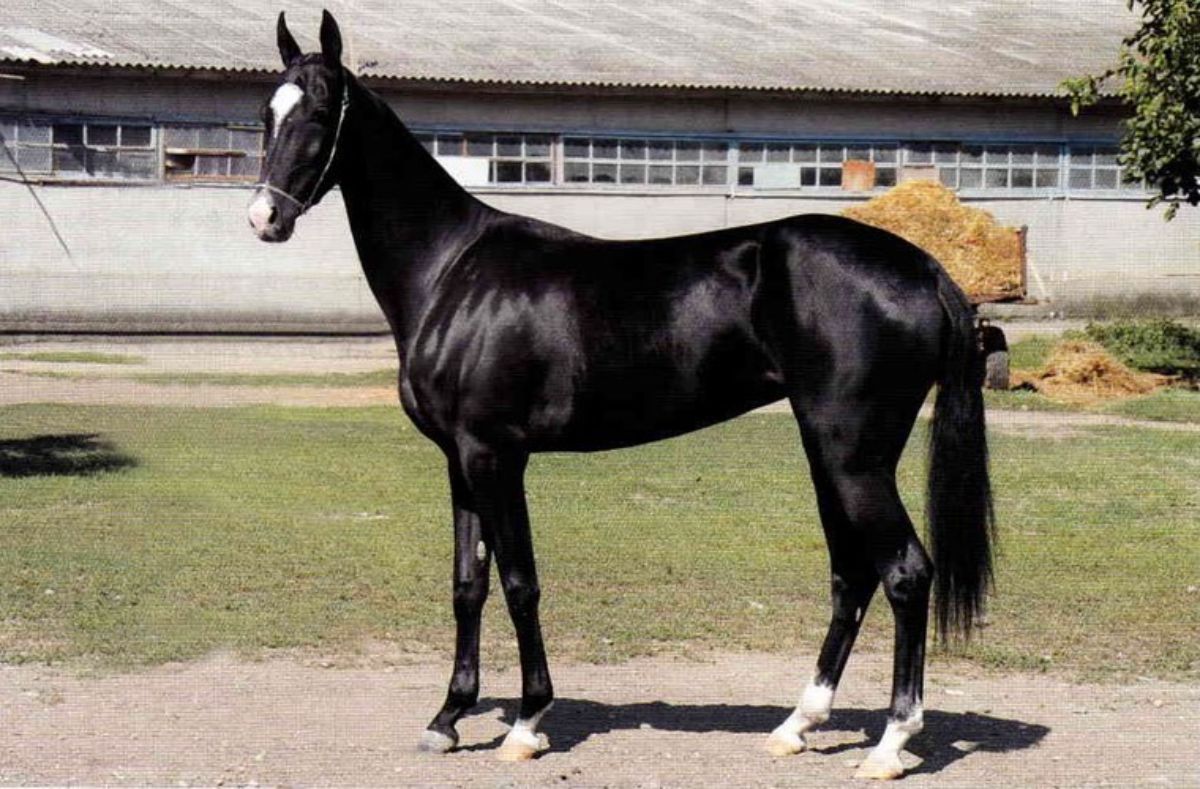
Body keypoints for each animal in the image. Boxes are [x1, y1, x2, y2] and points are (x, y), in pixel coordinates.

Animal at [250, 10, 993, 772]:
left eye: (318, 112)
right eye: (266, 112)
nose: (264, 218)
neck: (454, 270)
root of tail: (925, 269)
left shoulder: (495, 455)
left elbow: (520, 583)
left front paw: (526, 723)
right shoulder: (459, 460)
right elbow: (468, 584)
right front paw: (448, 717)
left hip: (853, 458)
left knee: (904, 572)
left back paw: (891, 742)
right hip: (832, 453)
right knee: (852, 572)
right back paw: (797, 724)